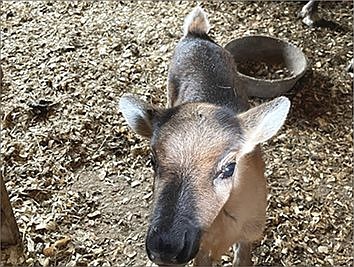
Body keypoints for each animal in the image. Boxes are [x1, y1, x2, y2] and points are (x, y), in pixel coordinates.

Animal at [119, 6, 290, 267]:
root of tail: (195, 33)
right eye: (152, 160)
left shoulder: (249, 235)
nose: (165, 248)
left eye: (229, 167)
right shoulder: (202, 250)